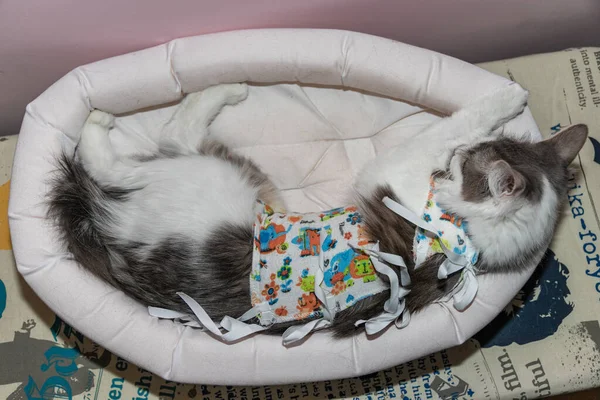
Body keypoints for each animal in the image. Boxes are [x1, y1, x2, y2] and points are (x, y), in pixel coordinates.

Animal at [47, 83, 584, 340]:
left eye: (460, 165)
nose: (446, 167)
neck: (460, 241)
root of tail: (121, 244)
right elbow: (456, 123)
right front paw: (511, 96)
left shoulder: (391, 168)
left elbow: (450, 122)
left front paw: (504, 97)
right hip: (246, 179)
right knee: (171, 137)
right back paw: (230, 88)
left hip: (209, 179)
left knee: (129, 158)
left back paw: (101, 119)